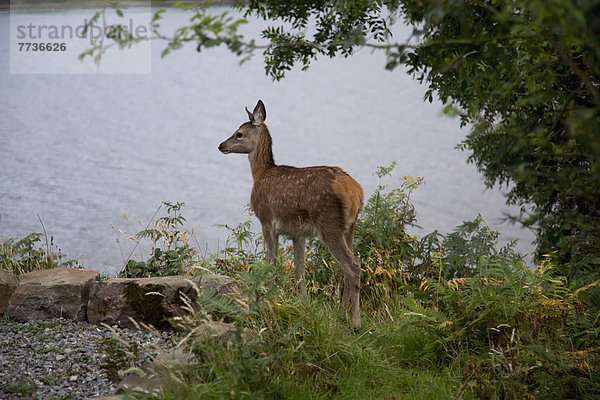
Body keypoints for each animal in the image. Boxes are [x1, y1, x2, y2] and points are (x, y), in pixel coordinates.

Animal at [218, 101, 364, 332]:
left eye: (239, 133)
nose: (221, 145)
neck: (260, 174)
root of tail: (356, 193)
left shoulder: (266, 220)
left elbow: (271, 262)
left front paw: (269, 298)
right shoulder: (298, 233)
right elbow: (300, 269)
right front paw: (302, 303)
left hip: (330, 223)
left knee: (352, 265)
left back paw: (356, 322)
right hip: (350, 226)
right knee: (347, 267)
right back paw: (341, 316)